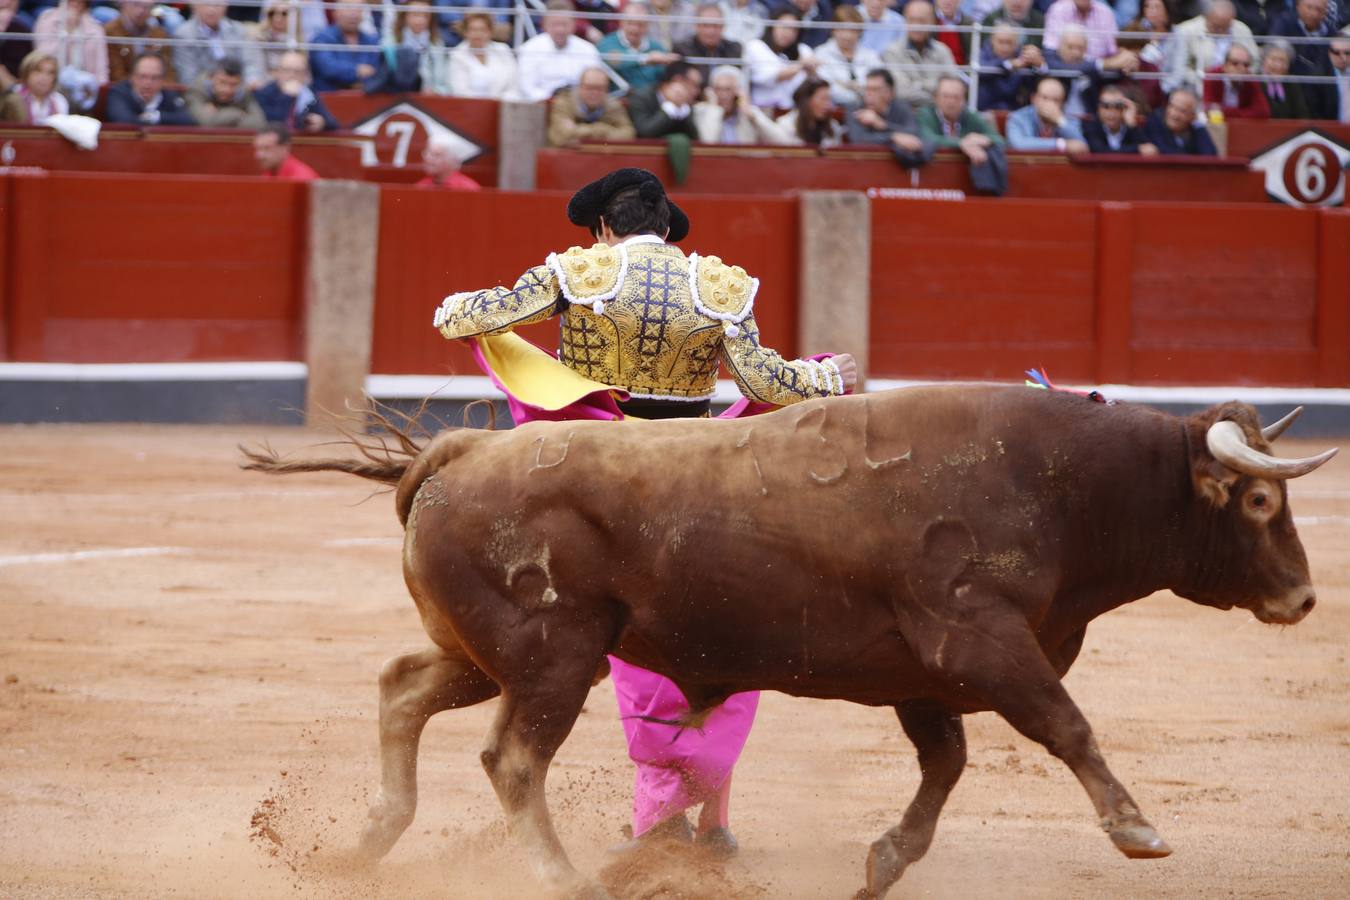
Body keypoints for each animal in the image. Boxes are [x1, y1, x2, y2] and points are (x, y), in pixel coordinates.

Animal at [245, 388, 1339, 900]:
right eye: (1258, 502)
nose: (1302, 596)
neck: (1066, 487)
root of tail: (462, 448)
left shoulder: (923, 678)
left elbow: (945, 768)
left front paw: (885, 860)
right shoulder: (980, 644)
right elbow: (1066, 728)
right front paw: (1137, 830)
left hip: (490, 655)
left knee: (401, 690)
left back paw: (367, 841)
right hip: (554, 655)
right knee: (513, 757)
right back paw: (560, 876)